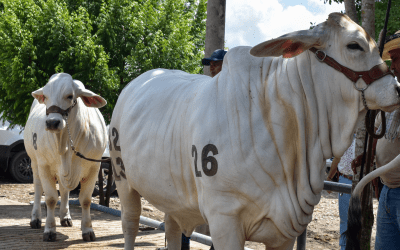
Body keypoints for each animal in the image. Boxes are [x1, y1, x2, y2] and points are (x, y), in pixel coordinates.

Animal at [24, 73, 107, 241]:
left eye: (70, 96)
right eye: (46, 96)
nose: (52, 122)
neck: (66, 145)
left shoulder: (94, 167)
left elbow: (86, 200)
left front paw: (88, 230)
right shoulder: (44, 166)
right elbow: (50, 199)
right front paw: (49, 230)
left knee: (64, 190)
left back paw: (65, 217)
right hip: (35, 163)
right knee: (38, 188)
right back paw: (36, 219)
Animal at [108, 13, 400, 250]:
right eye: (354, 45)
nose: (396, 88)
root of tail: (134, 83)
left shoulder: (287, 231)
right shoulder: (224, 220)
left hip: (173, 199)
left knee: (172, 228)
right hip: (122, 178)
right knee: (130, 224)